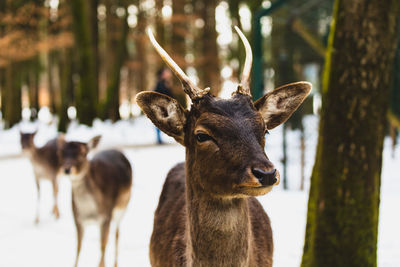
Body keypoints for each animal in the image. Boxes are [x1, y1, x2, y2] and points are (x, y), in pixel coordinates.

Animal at [56, 136, 133, 267]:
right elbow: (78, 247)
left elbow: (102, 246)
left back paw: (116, 263)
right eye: (61, 152)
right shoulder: (77, 219)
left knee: (117, 233)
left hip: (122, 206)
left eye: (82, 153)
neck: (90, 213)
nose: (67, 169)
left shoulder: (106, 217)